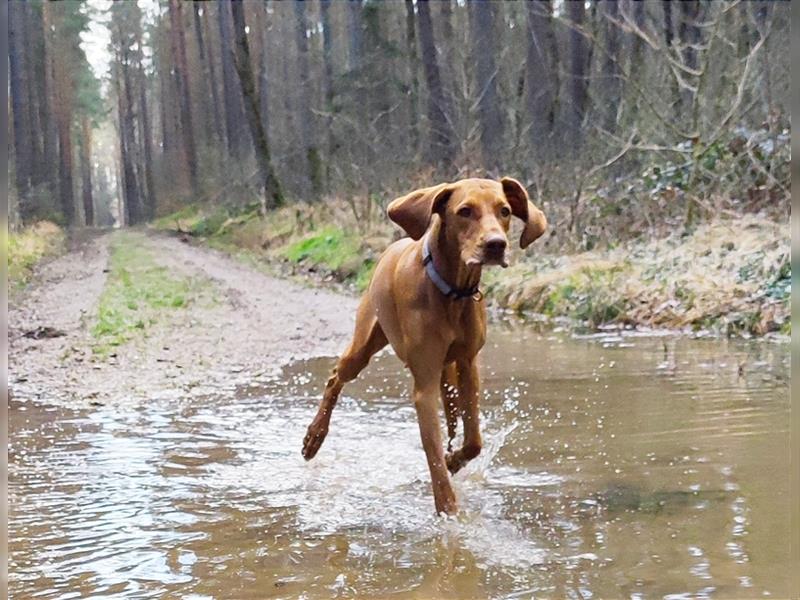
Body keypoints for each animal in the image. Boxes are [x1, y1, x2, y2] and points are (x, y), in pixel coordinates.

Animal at [304, 176, 548, 512]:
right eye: (465, 211)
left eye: (505, 211)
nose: (496, 245)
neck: (453, 291)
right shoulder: (424, 385)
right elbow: (433, 454)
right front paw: (448, 510)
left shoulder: (468, 365)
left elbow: (473, 441)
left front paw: (455, 460)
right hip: (364, 345)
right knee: (336, 377)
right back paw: (314, 437)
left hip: (448, 371)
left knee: (454, 418)